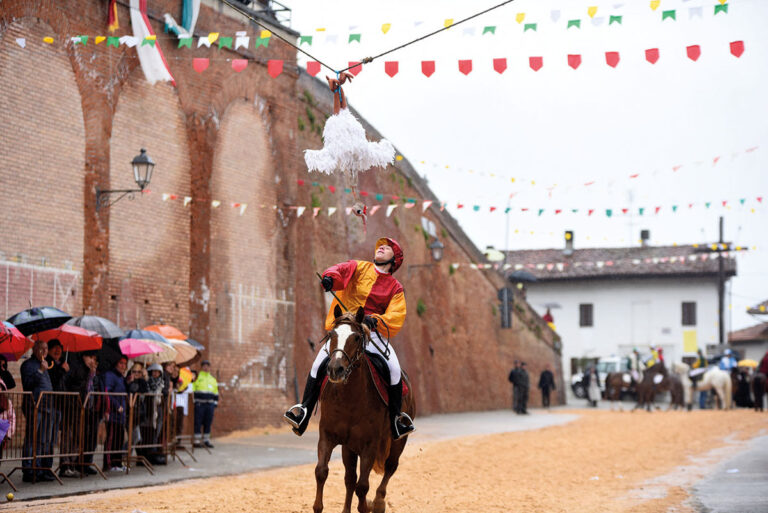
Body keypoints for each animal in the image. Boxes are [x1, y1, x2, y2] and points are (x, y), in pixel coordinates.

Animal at [312, 308, 416, 512]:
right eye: (332, 334)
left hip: (398, 441)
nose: (335, 369)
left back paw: (378, 502)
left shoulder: (370, 445)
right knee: (350, 479)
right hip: (349, 447)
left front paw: (367, 505)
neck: (349, 400)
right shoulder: (327, 436)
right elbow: (322, 472)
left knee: (390, 467)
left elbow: (363, 486)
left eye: (356, 337)